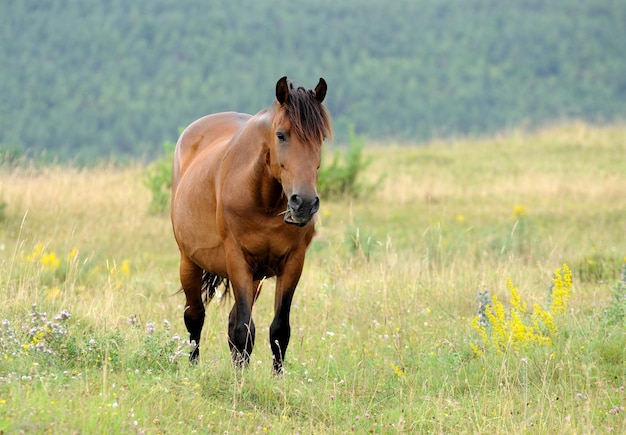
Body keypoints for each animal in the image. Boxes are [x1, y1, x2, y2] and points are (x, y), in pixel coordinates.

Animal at [168, 76, 330, 372]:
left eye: (321, 138)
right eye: (281, 135)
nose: (303, 203)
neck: (263, 201)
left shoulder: (292, 263)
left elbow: (278, 330)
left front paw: (275, 379)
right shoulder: (237, 260)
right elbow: (242, 330)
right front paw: (239, 381)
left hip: (256, 277)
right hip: (189, 261)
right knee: (195, 316)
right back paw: (193, 367)